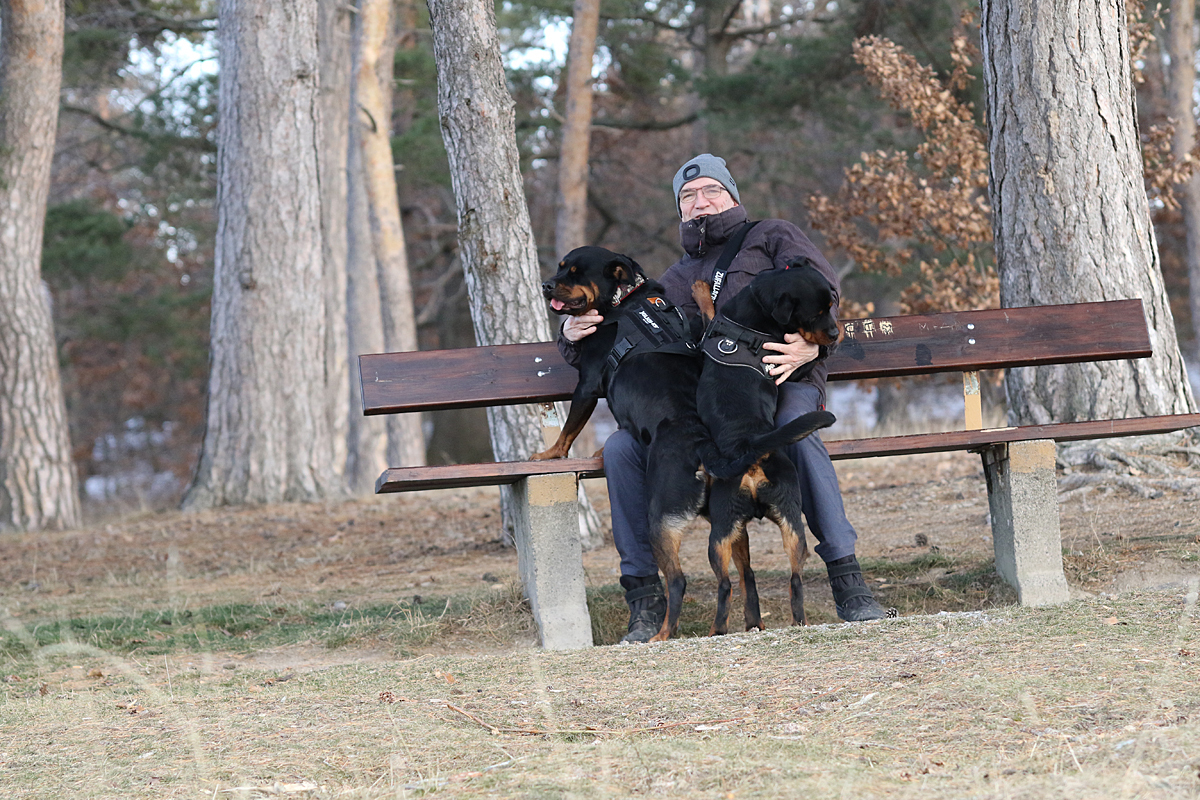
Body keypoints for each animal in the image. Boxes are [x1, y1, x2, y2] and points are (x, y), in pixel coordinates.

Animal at [691, 258, 840, 634]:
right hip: (781, 524)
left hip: (729, 531)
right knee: (790, 580)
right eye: (816, 313)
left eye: (830, 306)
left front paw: (701, 288)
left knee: (733, 583)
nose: (836, 334)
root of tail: (748, 446)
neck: (756, 309)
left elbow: (708, 311)